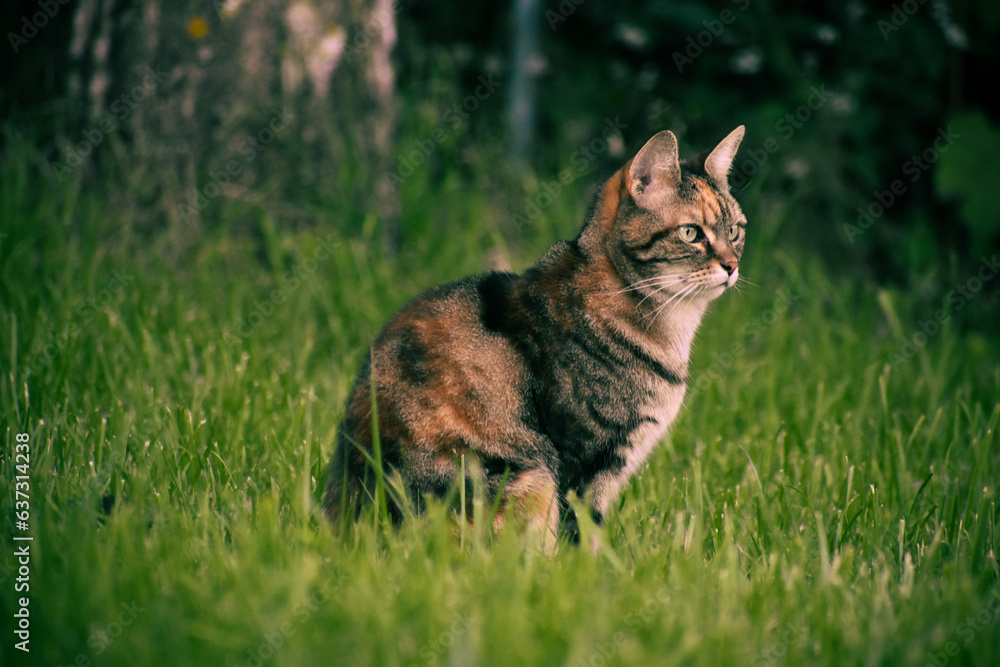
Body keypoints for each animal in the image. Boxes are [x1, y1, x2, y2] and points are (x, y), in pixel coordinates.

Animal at [324, 128, 748, 544]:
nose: (732, 265)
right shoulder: (583, 461)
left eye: (734, 231)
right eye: (691, 232)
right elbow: (580, 537)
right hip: (531, 473)